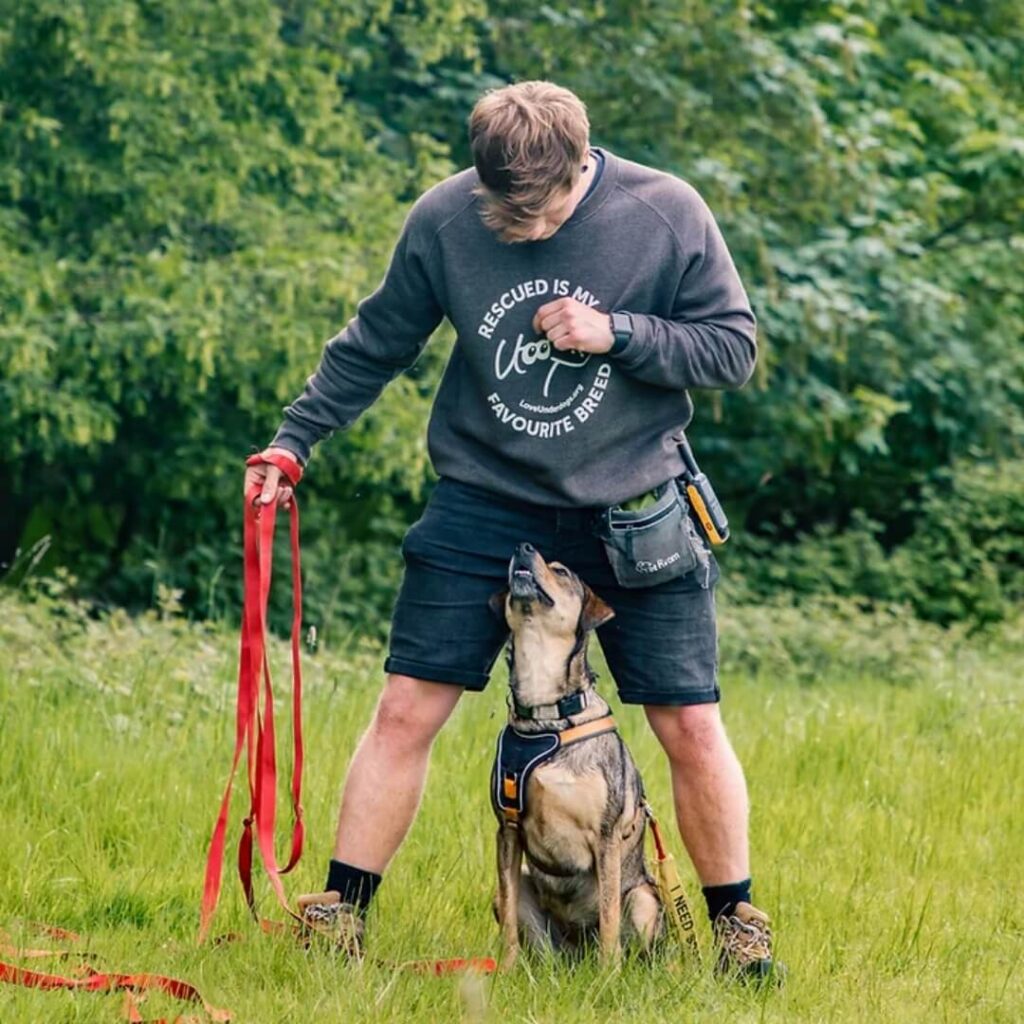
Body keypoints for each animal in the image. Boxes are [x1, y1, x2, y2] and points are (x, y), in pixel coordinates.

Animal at [487, 540, 663, 962]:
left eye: (562, 571)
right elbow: (510, 921)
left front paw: (608, 973)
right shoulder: (507, 830)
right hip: (523, 902)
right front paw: (504, 968)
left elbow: (610, 918)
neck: (548, 716)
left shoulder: (606, 837)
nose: (522, 546)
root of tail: (575, 951)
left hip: (646, 899)